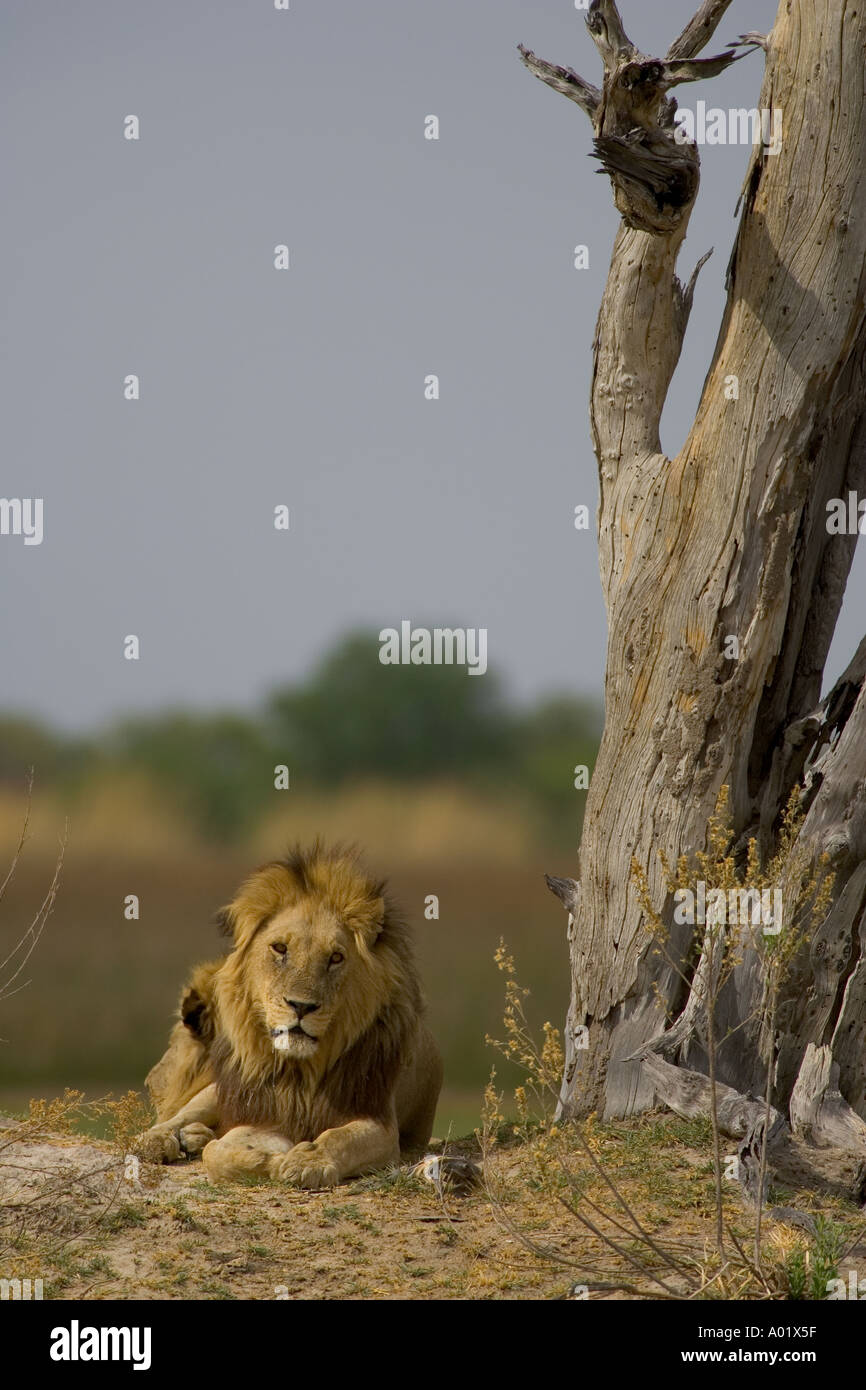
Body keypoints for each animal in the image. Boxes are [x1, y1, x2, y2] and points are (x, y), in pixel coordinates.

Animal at [135, 844, 443, 1188]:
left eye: (336, 958)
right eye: (280, 948)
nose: (301, 1006)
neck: (301, 1071)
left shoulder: (379, 1123)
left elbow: (339, 1138)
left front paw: (307, 1162)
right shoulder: (263, 1112)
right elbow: (218, 1154)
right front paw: (269, 1159)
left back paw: (195, 1136)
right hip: (217, 1090)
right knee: (181, 1115)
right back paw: (161, 1139)